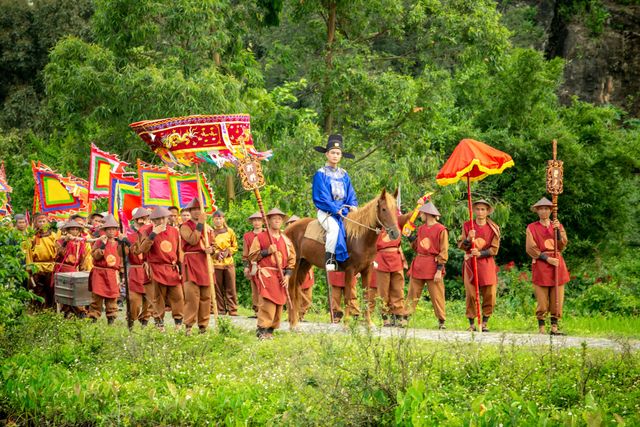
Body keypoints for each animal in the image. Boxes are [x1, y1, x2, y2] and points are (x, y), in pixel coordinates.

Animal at [286, 189, 404, 326]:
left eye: (395, 209)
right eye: (384, 209)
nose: (395, 233)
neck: (360, 237)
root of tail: (288, 230)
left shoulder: (366, 270)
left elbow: (365, 296)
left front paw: (369, 323)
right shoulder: (350, 270)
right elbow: (348, 296)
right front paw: (347, 324)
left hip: (304, 264)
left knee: (296, 290)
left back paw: (294, 321)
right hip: (294, 265)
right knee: (291, 290)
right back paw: (293, 323)